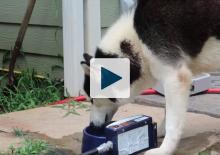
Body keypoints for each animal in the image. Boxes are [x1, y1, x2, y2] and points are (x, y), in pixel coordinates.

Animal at [81, 0, 220, 154]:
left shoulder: (175, 78)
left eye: (92, 99)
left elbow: (172, 124)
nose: (92, 126)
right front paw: (157, 131)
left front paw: (164, 149)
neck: (136, 40)